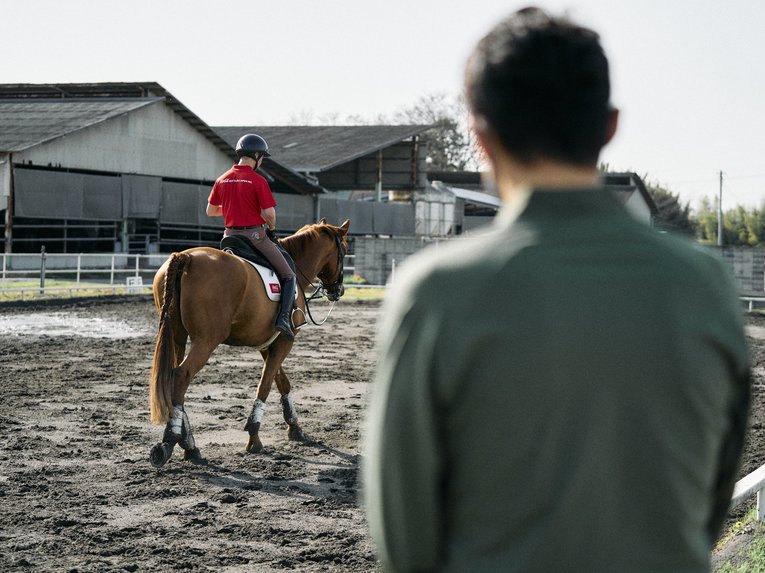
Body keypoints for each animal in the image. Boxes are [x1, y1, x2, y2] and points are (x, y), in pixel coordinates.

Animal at [147, 219, 350, 468]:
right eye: (344, 250)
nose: (338, 290)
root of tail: (186, 257)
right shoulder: (285, 341)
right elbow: (265, 385)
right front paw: (254, 437)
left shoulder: (268, 344)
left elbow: (282, 382)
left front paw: (295, 428)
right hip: (206, 340)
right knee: (181, 376)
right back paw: (171, 441)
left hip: (177, 335)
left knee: (173, 379)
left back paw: (190, 447)